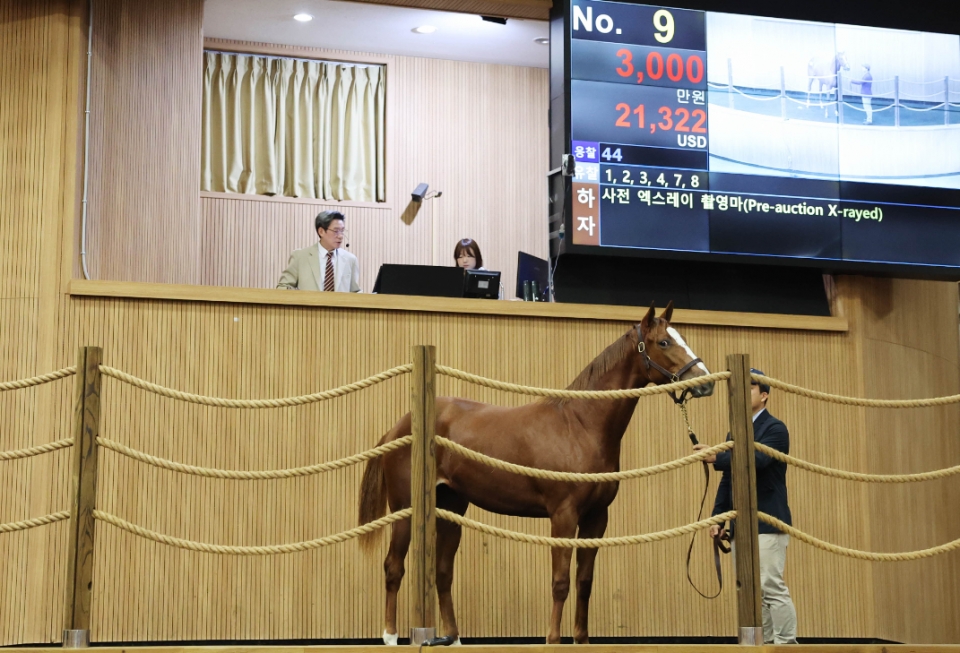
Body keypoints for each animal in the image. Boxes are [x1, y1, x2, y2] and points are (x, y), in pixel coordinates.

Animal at [360, 304, 712, 640]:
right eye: (664, 342)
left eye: (681, 337)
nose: (705, 381)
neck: (580, 425)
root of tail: (400, 426)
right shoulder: (563, 516)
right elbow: (560, 582)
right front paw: (552, 639)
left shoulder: (597, 518)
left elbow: (584, 582)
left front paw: (581, 640)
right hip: (406, 509)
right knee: (393, 567)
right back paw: (390, 636)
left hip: (451, 509)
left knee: (443, 573)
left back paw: (453, 639)